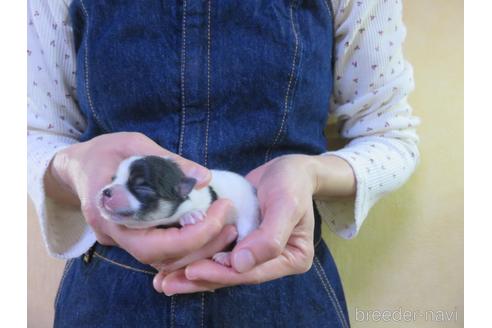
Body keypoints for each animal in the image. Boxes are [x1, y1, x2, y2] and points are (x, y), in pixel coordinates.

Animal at [96, 155, 262, 266]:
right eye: (112, 179)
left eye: (142, 188)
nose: (106, 191)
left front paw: (190, 215)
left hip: (249, 213)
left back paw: (226, 257)